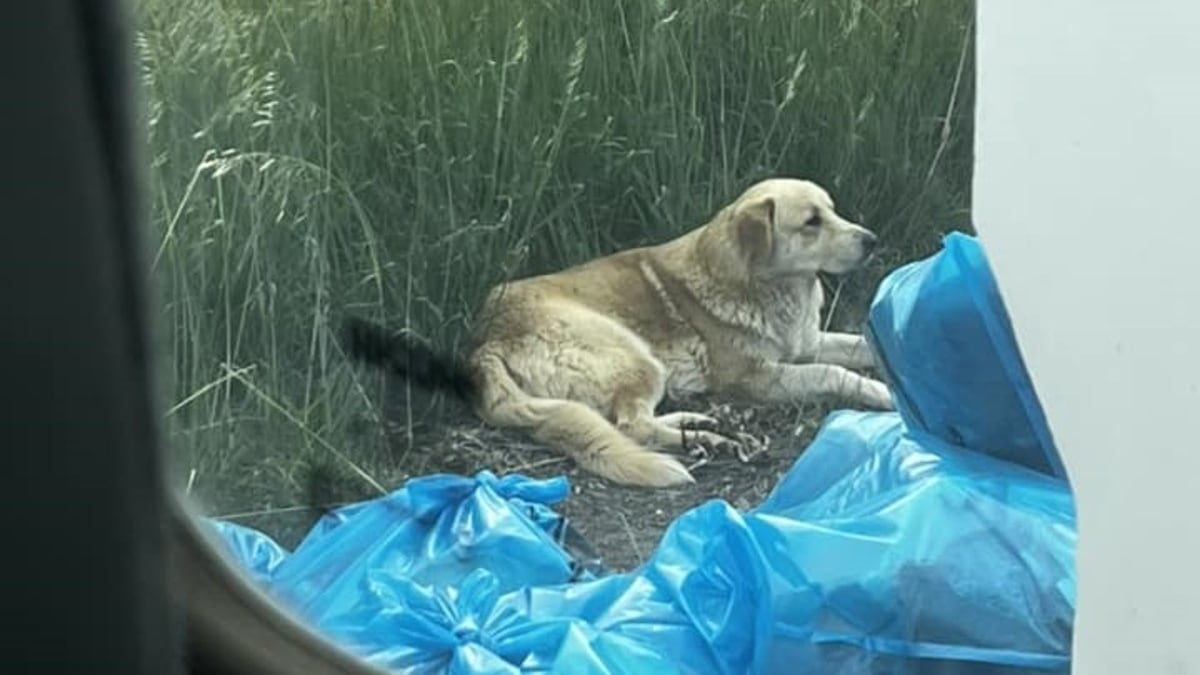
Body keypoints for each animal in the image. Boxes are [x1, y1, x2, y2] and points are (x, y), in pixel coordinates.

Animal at [345, 176, 892, 485]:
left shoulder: (807, 343)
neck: (763, 283)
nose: (872, 239)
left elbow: (861, 344)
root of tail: (484, 342)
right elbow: (833, 373)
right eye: (811, 222)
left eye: (832, 210)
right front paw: (881, 393)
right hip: (635, 356)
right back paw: (701, 438)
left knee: (631, 421)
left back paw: (697, 426)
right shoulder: (758, 377)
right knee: (629, 425)